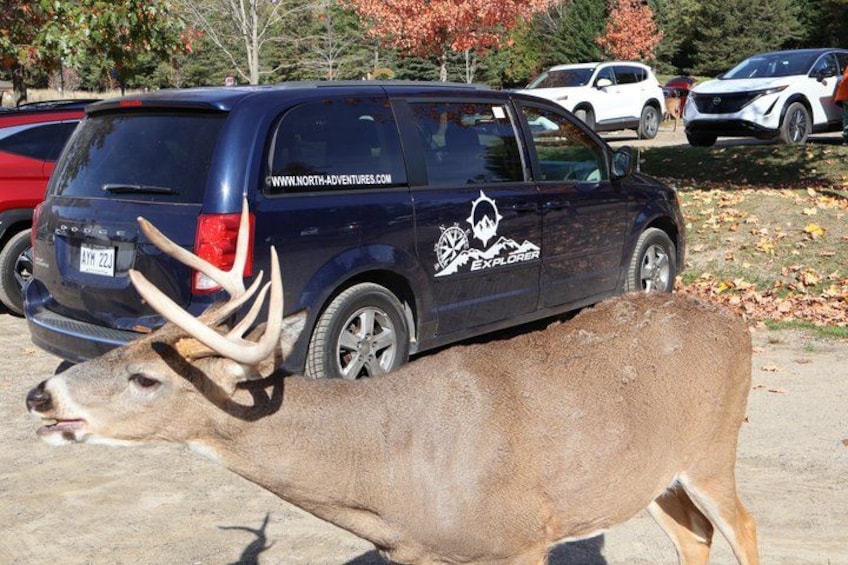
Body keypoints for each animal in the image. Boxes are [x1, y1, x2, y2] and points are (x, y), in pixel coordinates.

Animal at [27, 201, 758, 565]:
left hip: (713, 448)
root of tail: (738, 324)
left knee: (743, 526)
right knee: (694, 536)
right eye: (127, 346)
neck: (385, 470)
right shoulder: (414, 555)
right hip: (651, 475)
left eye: (146, 377)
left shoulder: (522, 536)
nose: (40, 395)